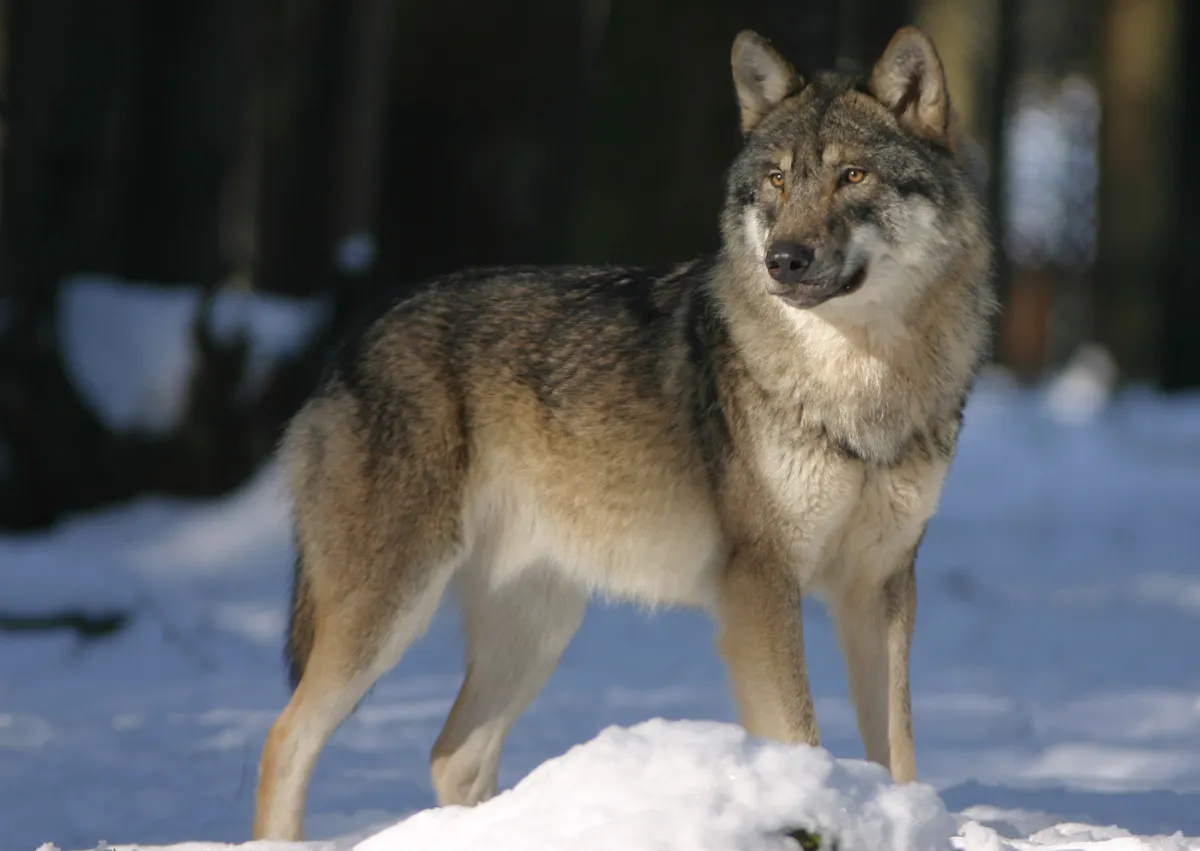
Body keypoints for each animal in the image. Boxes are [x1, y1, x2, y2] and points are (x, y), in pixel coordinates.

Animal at [253, 25, 995, 840]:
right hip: (390, 610)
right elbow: (800, 733)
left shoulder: (882, 584)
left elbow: (898, 750)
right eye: (776, 181)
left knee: (453, 753)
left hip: (539, 624)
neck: (859, 385)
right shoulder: (761, 581)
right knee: (285, 736)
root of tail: (351, 340)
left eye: (852, 175)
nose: (784, 260)